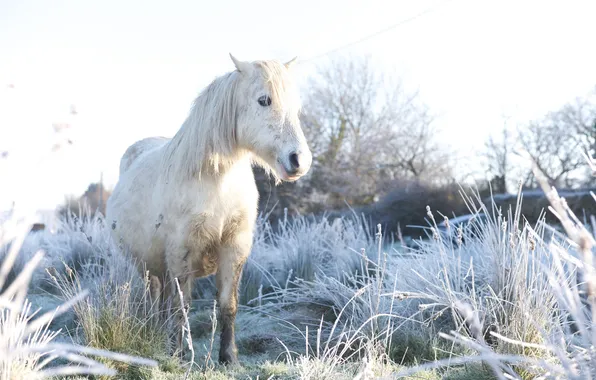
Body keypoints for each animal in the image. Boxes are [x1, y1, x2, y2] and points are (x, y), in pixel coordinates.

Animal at [104, 54, 312, 366]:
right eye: (264, 100)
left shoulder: (234, 248)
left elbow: (228, 304)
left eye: (296, 106)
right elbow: (182, 306)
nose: (299, 160)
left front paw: (228, 357)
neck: (217, 181)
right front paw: (178, 355)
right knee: (155, 299)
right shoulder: (182, 251)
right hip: (147, 267)